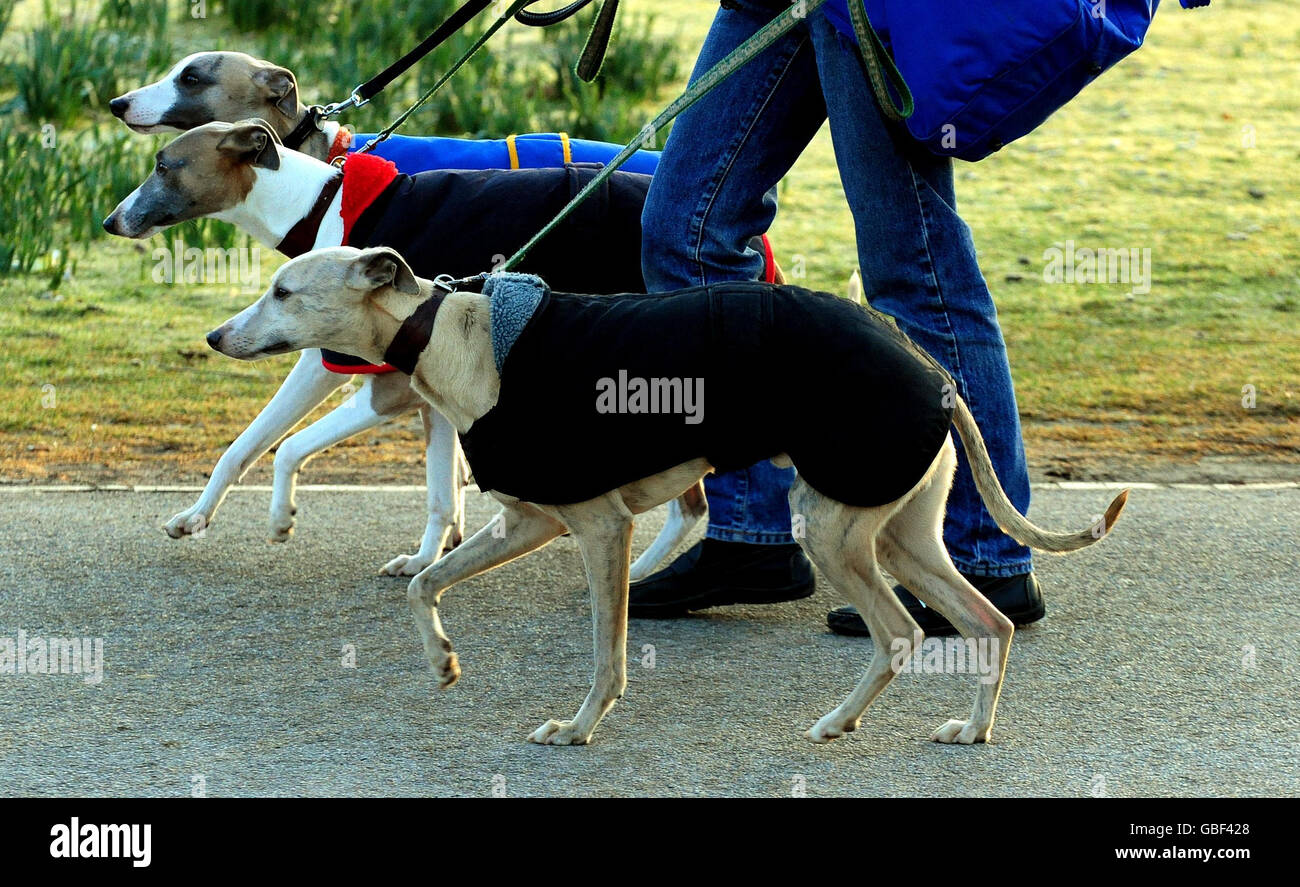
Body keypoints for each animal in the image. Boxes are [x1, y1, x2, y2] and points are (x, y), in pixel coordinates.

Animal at [101, 115, 712, 572]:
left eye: (164, 165)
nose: (109, 221)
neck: (320, 204)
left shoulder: (382, 383)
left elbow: (287, 446)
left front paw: (280, 517)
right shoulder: (426, 388)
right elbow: (251, 444)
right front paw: (195, 517)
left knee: (692, 504)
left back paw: (640, 576)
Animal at [205, 245, 1128, 743]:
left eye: (283, 290)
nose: (215, 335)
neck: (451, 333)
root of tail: (934, 373)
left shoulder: (599, 529)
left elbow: (607, 652)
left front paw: (578, 727)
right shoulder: (527, 521)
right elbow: (426, 581)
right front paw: (441, 659)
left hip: (837, 531)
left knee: (901, 631)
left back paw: (839, 720)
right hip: (902, 533)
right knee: (990, 621)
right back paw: (971, 726)